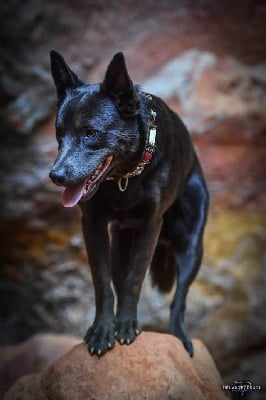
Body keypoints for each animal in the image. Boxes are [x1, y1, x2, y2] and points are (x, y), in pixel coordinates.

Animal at [48, 50, 209, 356]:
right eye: (59, 134)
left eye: (91, 133)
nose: (56, 176)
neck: (125, 177)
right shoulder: (93, 225)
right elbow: (103, 282)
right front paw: (102, 330)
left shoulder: (150, 224)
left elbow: (135, 279)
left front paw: (125, 327)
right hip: (120, 245)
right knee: (119, 280)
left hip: (191, 244)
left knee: (179, 299)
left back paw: (180, 337)